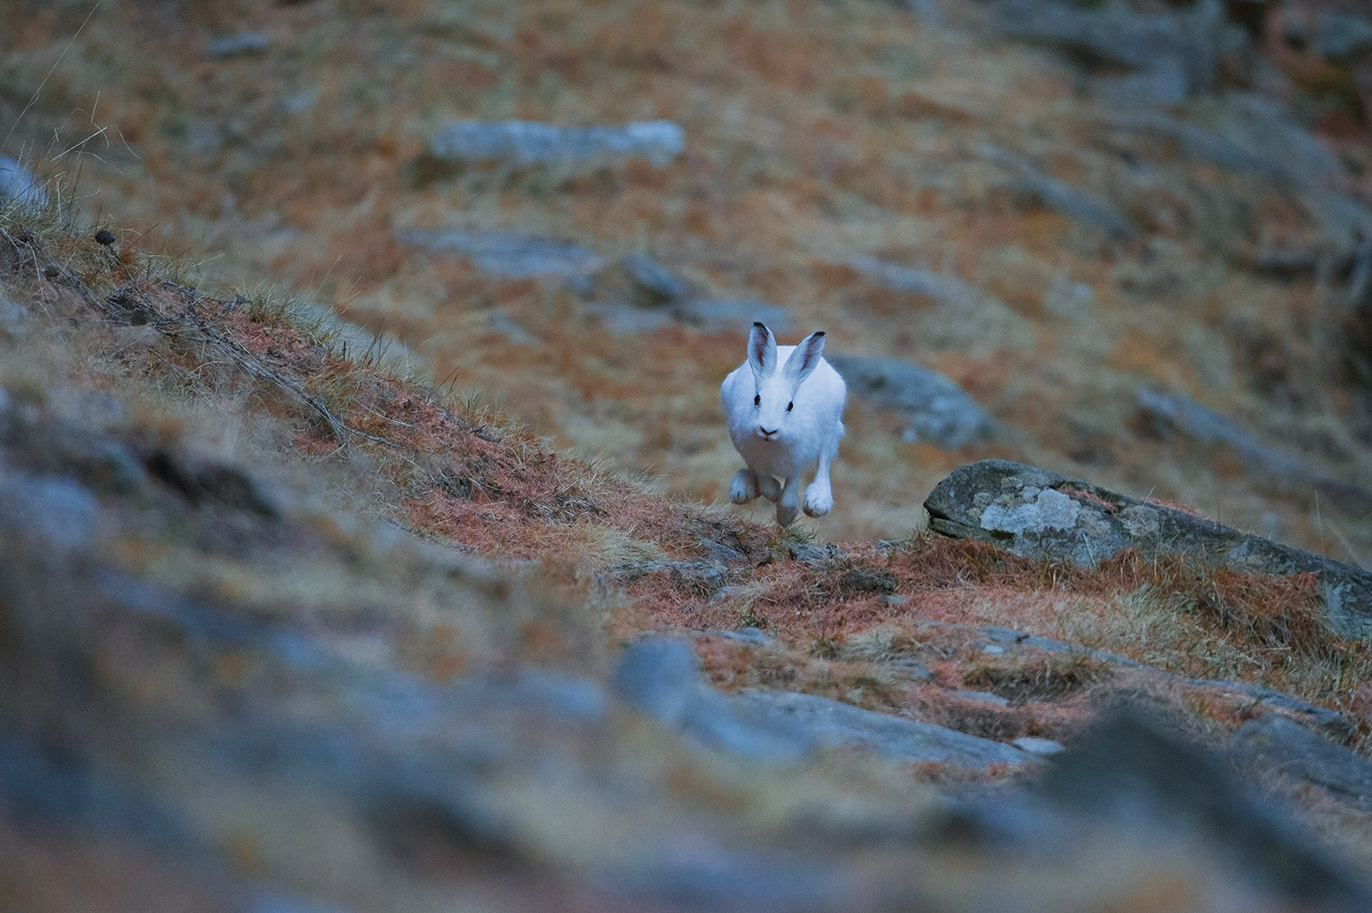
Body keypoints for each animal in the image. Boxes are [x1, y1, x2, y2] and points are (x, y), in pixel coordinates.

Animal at [720, 322, 846, 526]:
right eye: (756, 399)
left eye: (790, 406)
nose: (768, 430)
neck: (771, 444)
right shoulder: (755, 458)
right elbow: (766, 485)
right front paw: (775, 491)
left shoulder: (797, 461)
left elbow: (790, 489)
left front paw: (786, 517)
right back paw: (743, 488)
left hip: (832, 428)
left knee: (824, 461)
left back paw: (818, 501)